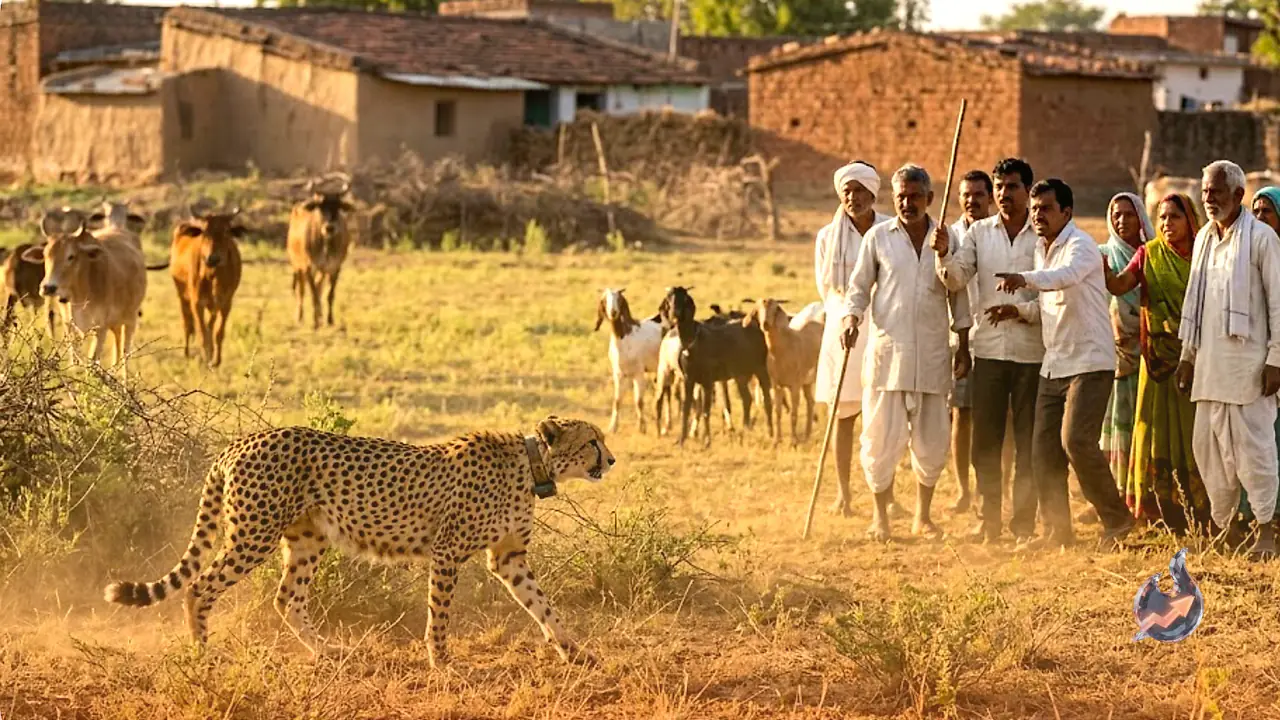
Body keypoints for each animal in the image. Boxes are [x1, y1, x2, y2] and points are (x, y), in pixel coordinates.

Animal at [103, 414, 615, 667]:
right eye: (592, 440)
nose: (610, 459)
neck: (530, 465)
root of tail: (242, 440)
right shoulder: (448, 550)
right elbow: (440, 612)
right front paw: (440, 659)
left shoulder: (509, 557)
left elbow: (543, 604)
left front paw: (575, 651)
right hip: (253, 534)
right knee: (199, 586)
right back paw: (203, 653)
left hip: (306, 539)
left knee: (286, 598)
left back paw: (326, 652)